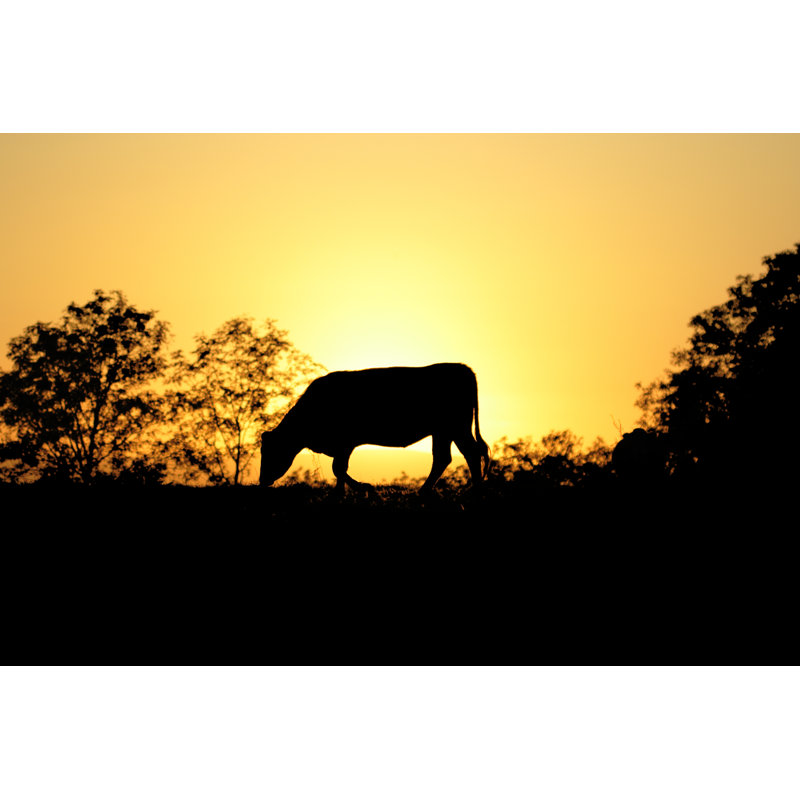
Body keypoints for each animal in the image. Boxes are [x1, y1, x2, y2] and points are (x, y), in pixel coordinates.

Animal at [260, 363, 491, 493]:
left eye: (272, 451)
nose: (262, 481)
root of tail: (464, 368)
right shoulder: (342, 446)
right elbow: (339, 471)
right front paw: (339, 493)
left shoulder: (346, 443)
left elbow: (338, 468)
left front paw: (364, 488)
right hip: (444, 431)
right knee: (446, 457)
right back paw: (426, 491)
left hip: (456, 427)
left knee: (470, 453)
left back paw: (474, 490)